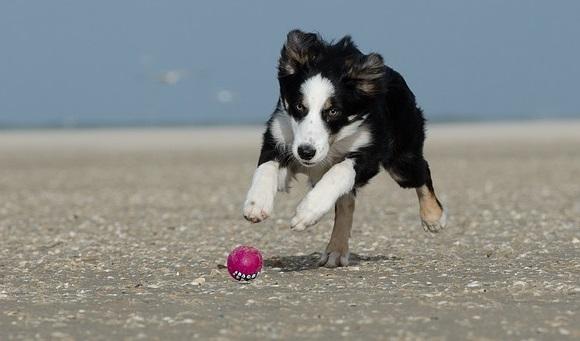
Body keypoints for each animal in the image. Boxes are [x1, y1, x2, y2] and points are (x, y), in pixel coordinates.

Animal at [242, 29, 446, 266]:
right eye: (299, 106)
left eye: (333, 111)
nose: (306, 152)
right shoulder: (278, 135)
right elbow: (266, 167)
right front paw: (256, 204)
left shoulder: (370, 151)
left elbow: (339, 172)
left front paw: (307, 212)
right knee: (347, 202)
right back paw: (336, 251)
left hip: (402, 161)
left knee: (422, 172)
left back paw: (433, 217)